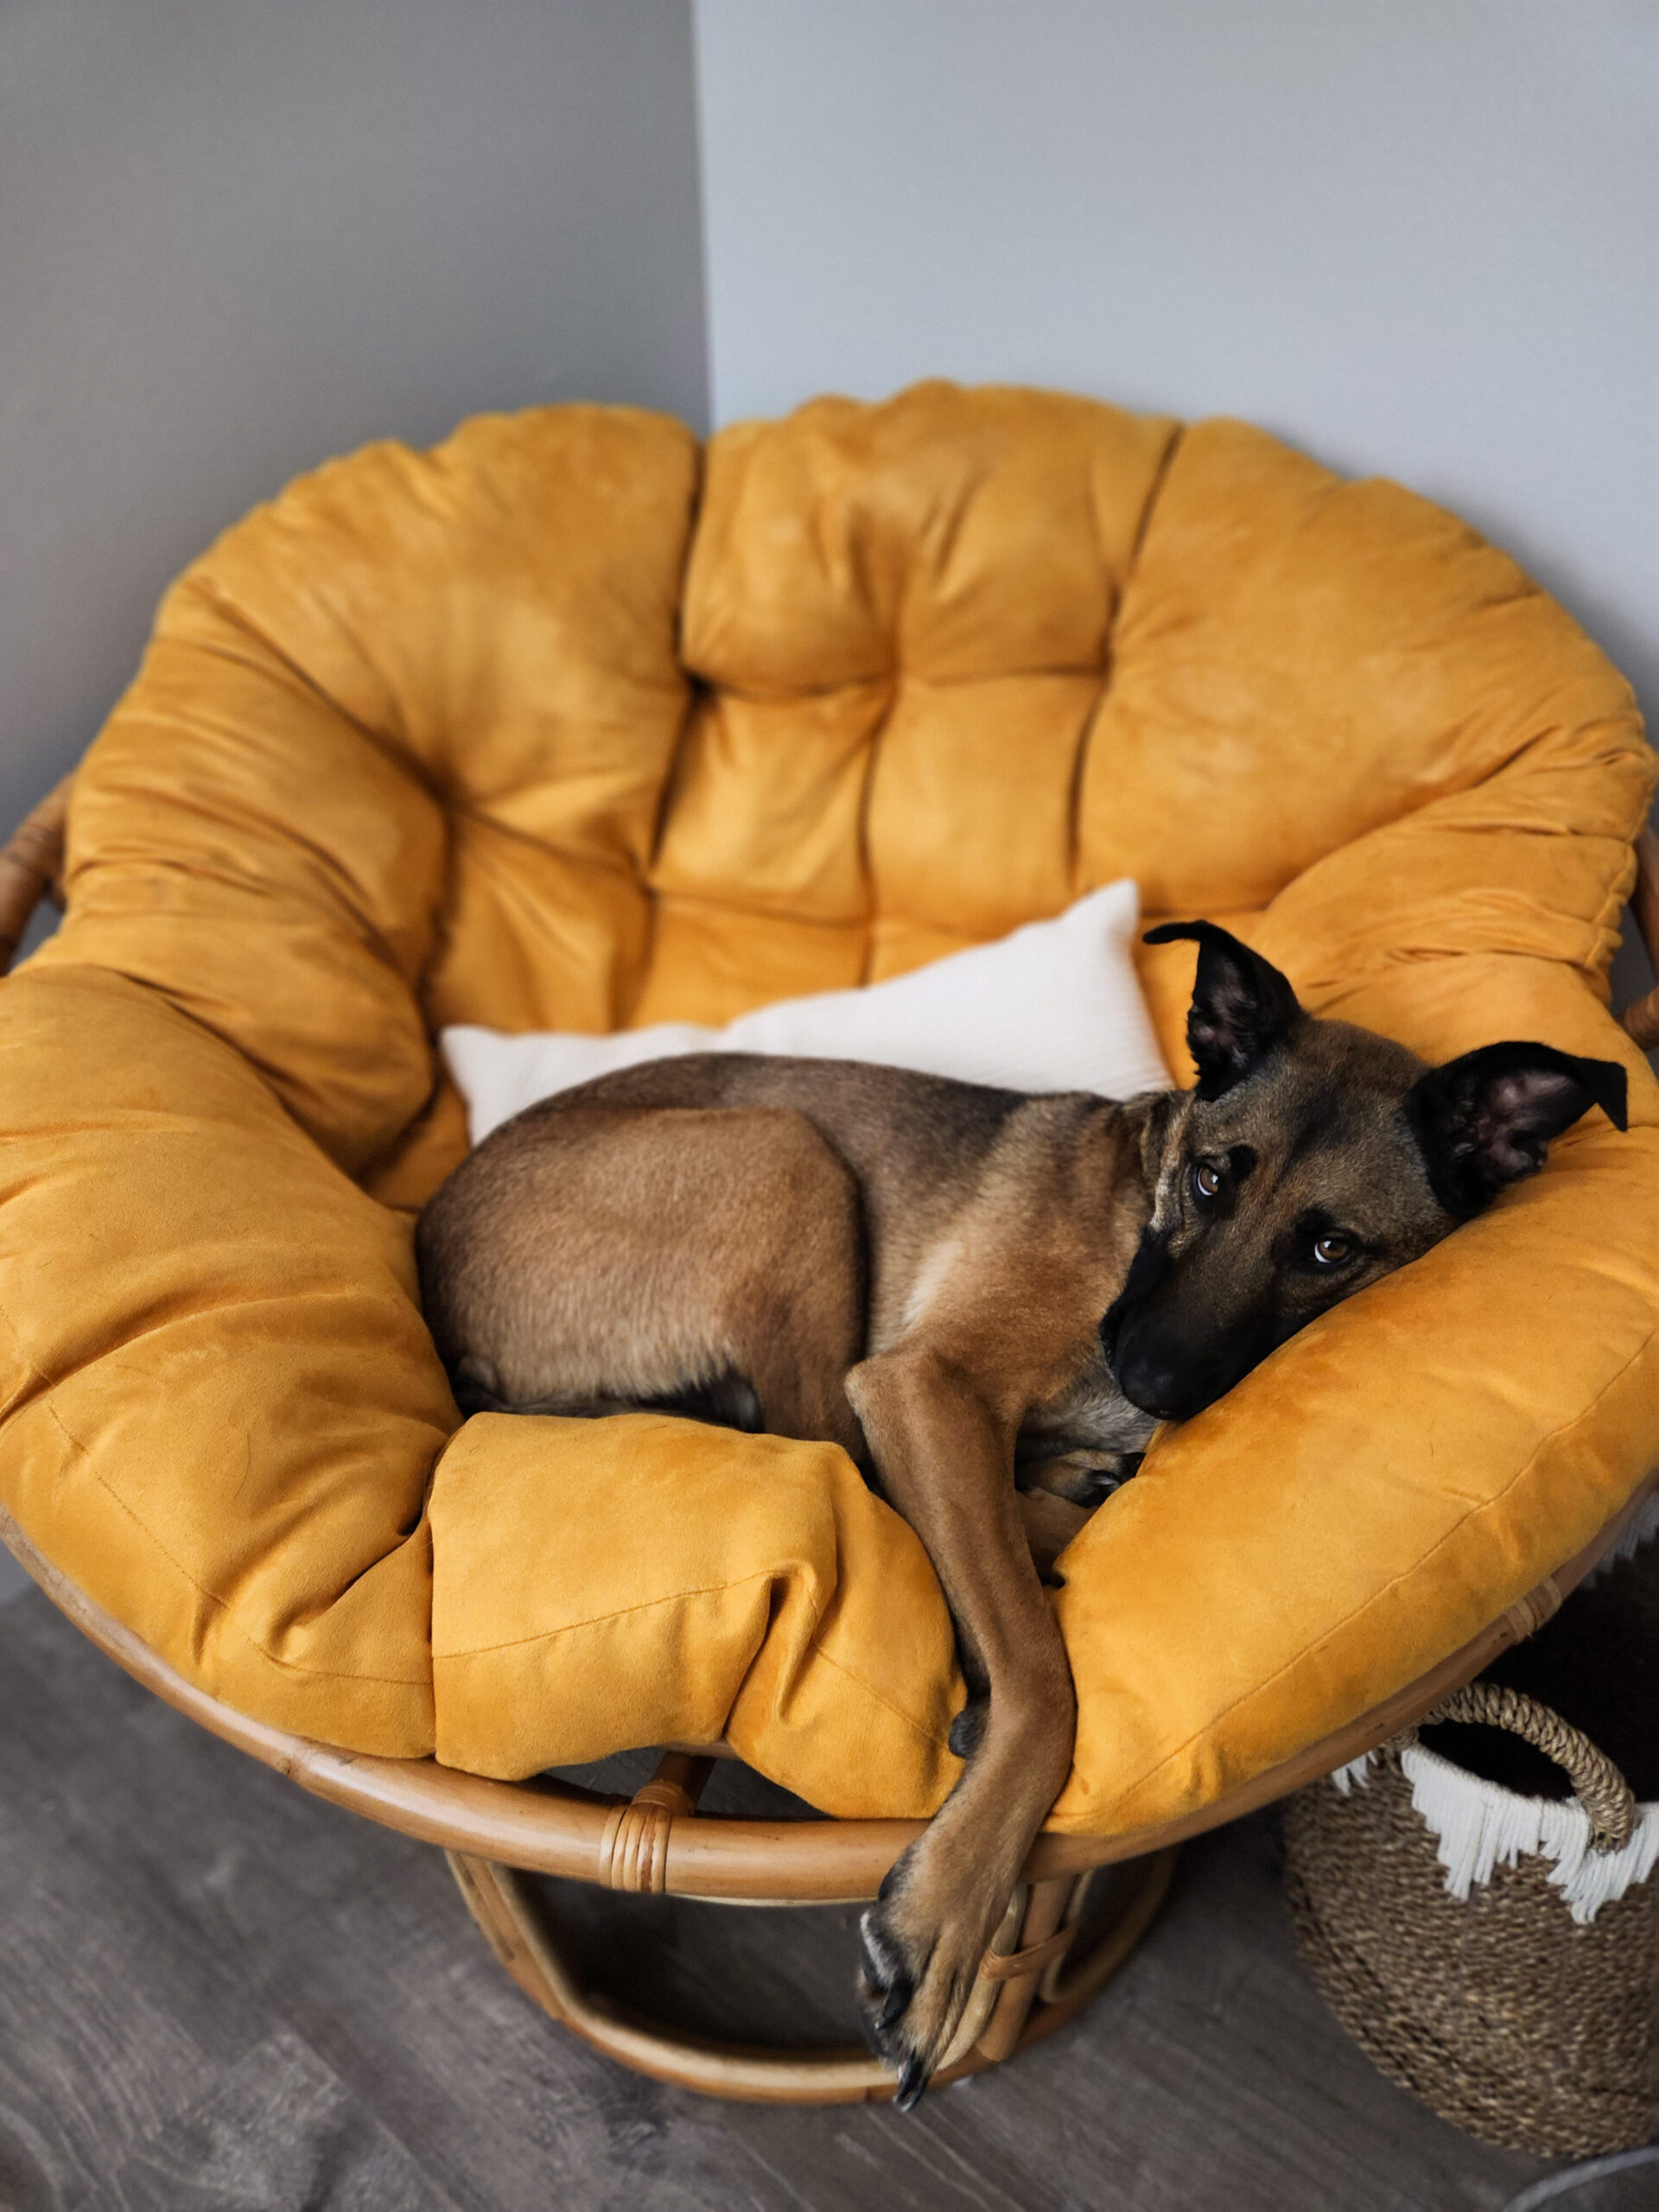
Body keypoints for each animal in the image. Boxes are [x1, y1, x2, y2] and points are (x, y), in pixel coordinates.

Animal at [417, 925, 1637, 2096]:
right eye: (1210, 1180)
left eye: (1331, 1248)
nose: (1144, 1374)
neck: (1136, 1208)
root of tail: (437, 1284)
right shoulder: (924, 1384)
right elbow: (1044, 1682)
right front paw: (948, 1913)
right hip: (786, 1149)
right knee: (831, 1451)